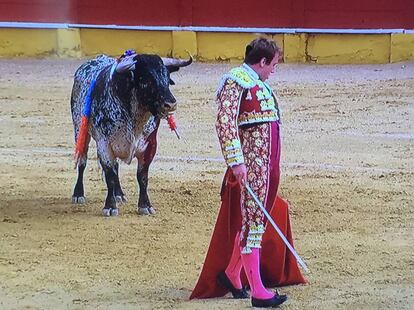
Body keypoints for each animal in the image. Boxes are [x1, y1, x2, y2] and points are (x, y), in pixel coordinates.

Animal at [71, 51, 192, 216]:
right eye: (146, 80)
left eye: (167, 78)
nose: (171, 104)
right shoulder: (104, 144)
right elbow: (109, 175)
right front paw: (110, 206)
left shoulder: (150, 145)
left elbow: (142, 176)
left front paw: (145, 205)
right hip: (79, 130)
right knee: (82, 161)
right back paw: (78, 194)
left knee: (116, 167)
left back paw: (119, 194)